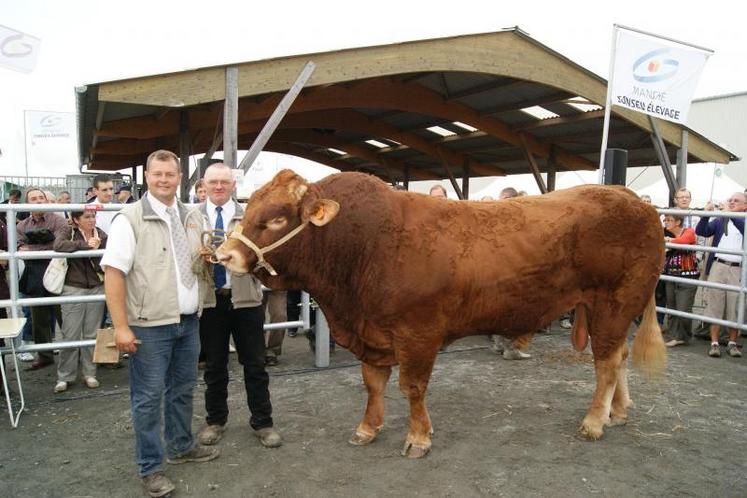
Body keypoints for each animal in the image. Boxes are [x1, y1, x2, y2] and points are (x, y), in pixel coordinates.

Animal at [215, 170, 668, 460]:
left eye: (276, 218)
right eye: (249, 209)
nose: (223, 255)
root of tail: (629, 198)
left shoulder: (418, 332)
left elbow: (412, 387)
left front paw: (418, 438)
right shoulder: (372, 334)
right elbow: (373, 384)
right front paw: (368, 428)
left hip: (614, 302)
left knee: (606, 363)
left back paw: (594, 422)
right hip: (610, 309)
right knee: (619, 358)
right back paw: (618, 413)